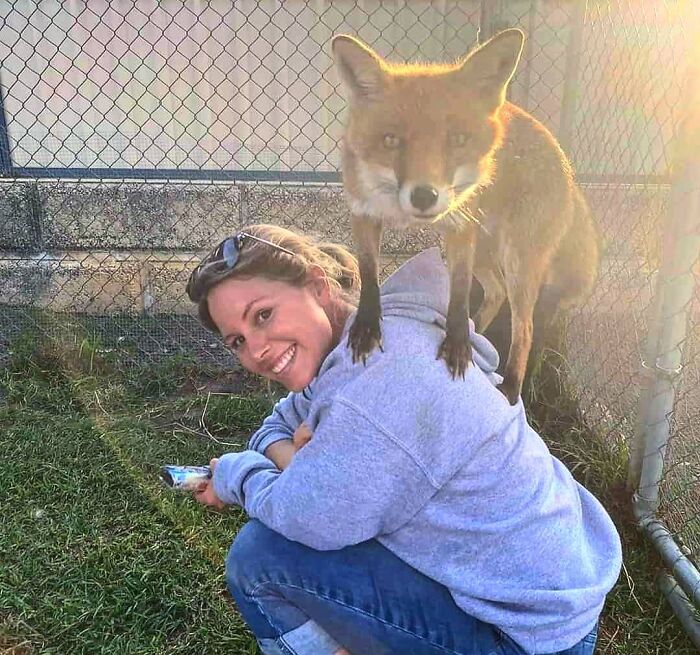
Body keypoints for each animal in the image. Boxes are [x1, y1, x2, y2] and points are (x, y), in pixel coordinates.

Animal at [331, 29, 600, 404]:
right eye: (391, 140)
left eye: (458, 139)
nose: (424, 196)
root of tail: (569, 170)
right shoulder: (363, 213)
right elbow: (369, 276)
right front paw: (367, 327)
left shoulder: (458, 227)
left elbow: (458, 292)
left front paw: (457, 343)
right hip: (486, 251)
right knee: (496, 293)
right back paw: (479, 332)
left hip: (517, 260)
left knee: (526, 328)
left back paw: (511, 388)